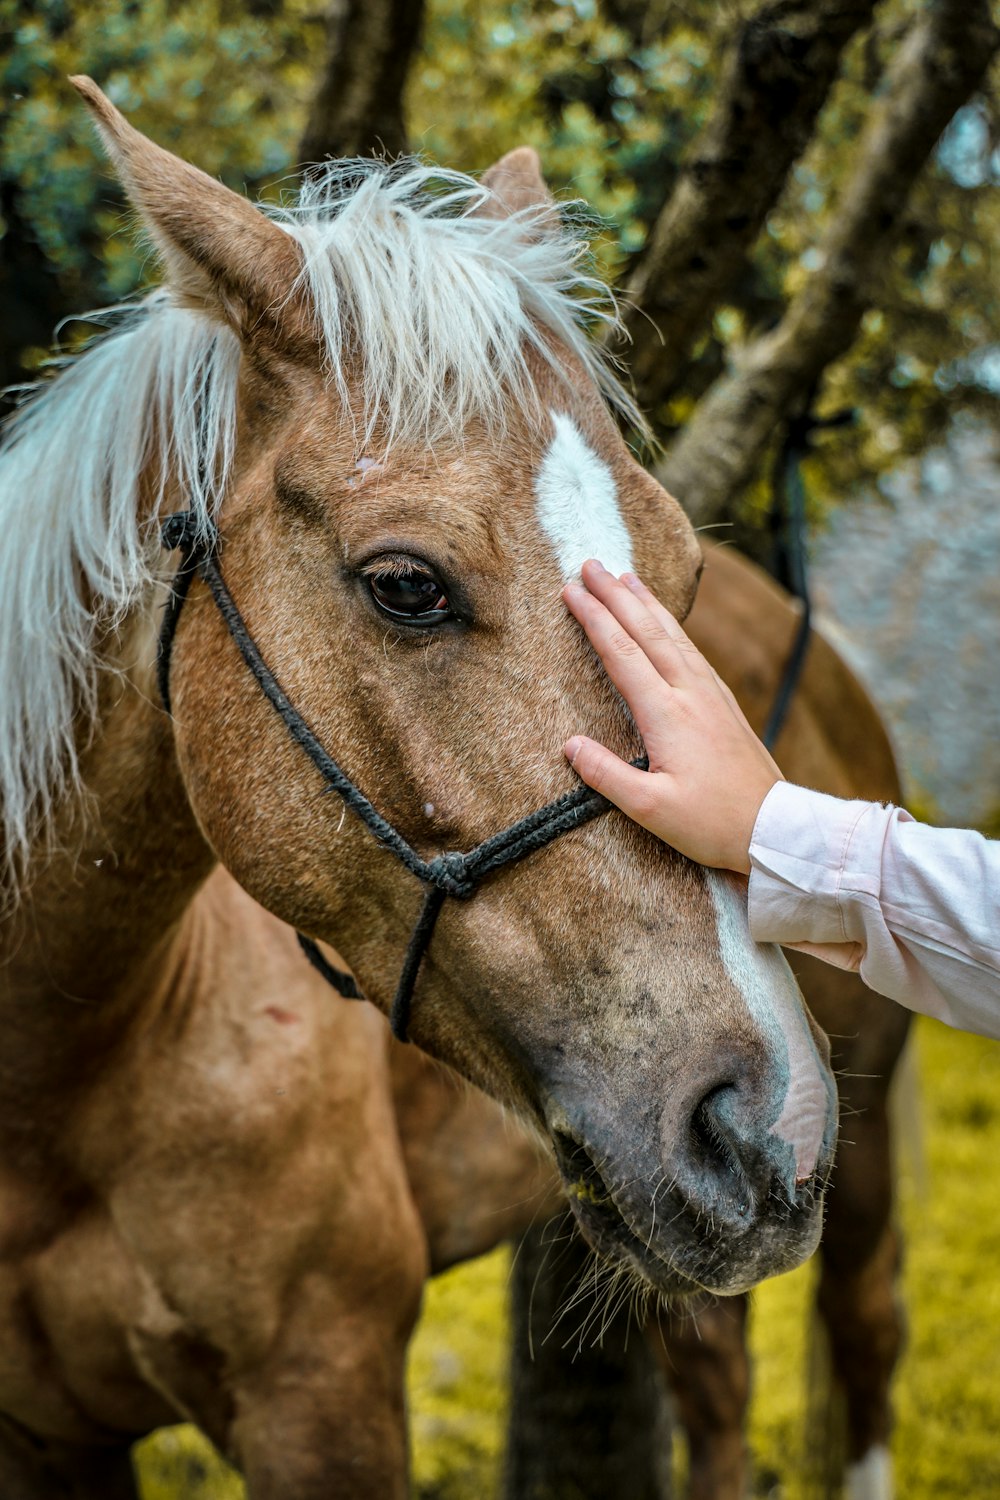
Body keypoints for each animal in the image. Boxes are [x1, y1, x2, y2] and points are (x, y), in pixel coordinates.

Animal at [0, 85, 839, 1500]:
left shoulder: (322, 1389)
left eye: (677, 573)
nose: (763, 1122)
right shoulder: (47, 1441)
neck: (56, 1079)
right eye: (406, 585)